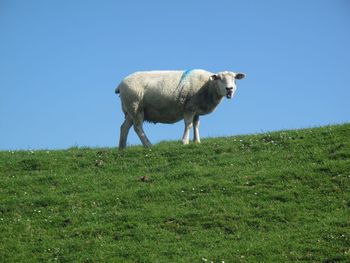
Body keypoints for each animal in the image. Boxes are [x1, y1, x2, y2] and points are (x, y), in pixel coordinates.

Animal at [114, 69, 243, 148]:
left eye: (234, 79)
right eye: (220, 78)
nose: (229, 89)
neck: (208, 86)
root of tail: (120, 85)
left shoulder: (196, 109)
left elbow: (196, 125)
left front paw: (197, 141)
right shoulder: (189, 107)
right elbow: (189, 125)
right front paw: (185, 142)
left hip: (130, 110)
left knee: (124, 127)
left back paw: (122, 148)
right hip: (136, 106)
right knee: (138, 128)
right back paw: (148, 145)